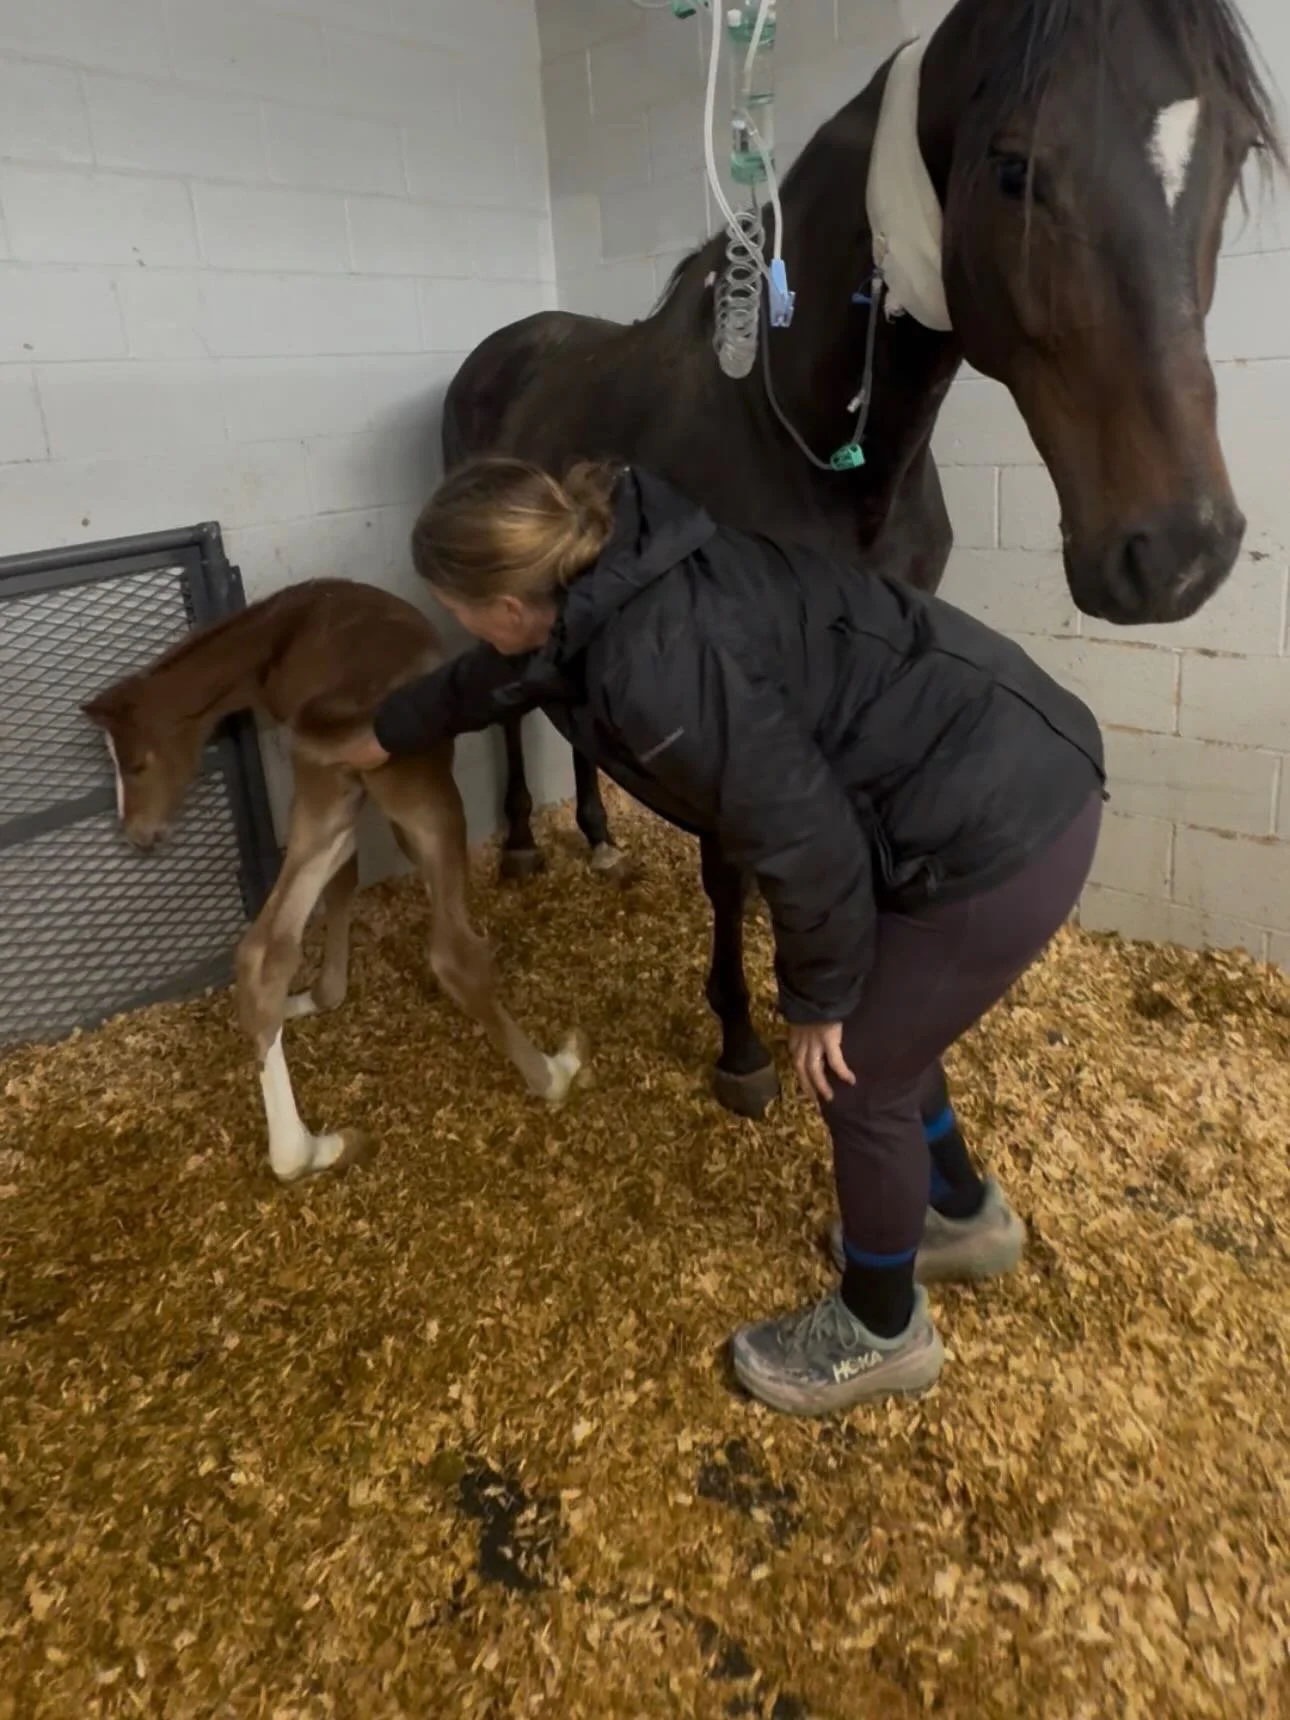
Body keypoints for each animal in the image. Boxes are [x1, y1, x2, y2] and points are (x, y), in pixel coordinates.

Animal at [82, 578, 587, 1184]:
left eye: (136, 764)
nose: (137, 836)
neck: (285, 631)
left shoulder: (334, 803)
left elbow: (341, 883)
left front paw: (325, 995)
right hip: (428, 805)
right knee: (453, 956)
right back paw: (556, 1071)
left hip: (322, 801)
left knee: (264, 951)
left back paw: (306, 1149)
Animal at [441, 0, 1282, 1119]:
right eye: (1012, 167)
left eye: (1234, 157)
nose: (1181, 550)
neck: (792, 432)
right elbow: (728, 862)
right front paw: (742, 1044)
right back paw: (528, 844)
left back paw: (599, 835)